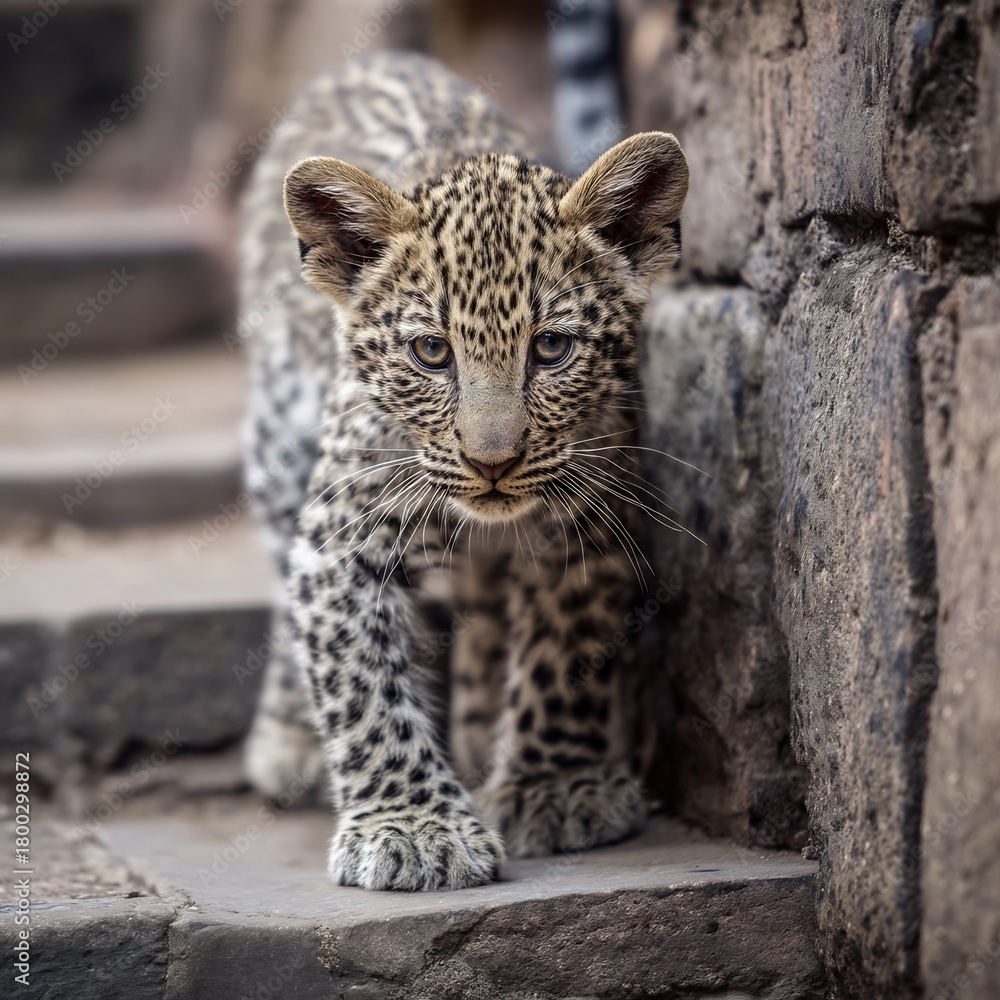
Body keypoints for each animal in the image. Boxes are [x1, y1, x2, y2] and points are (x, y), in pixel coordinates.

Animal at [239, 51, 688, 891]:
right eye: (430, 353)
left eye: (552, 349)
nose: (493, 462)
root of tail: (370, 57)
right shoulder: (342, 535)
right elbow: (360, 683)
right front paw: (414, 828)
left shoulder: (590, 520)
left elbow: (565, 655)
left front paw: (556, 787)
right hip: (277, 442)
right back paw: (288, 739)